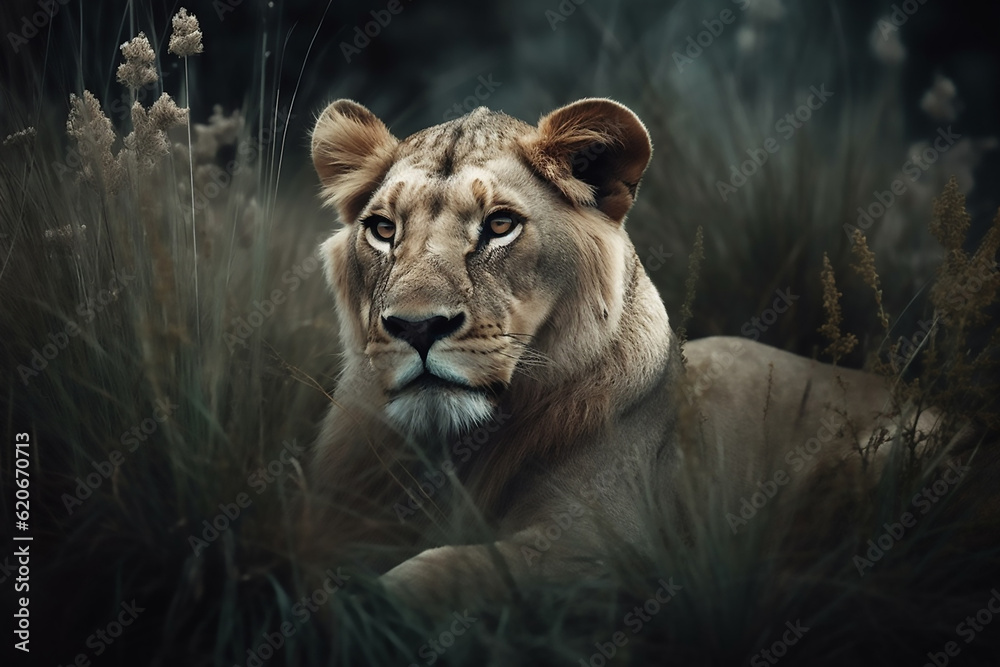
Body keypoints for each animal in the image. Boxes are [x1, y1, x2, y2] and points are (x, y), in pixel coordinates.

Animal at [307, 97, 941, 605]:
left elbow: (449, 570)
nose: (416, 328)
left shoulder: (609, 550)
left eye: (500, 225)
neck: (453, 453)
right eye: (383, 230)